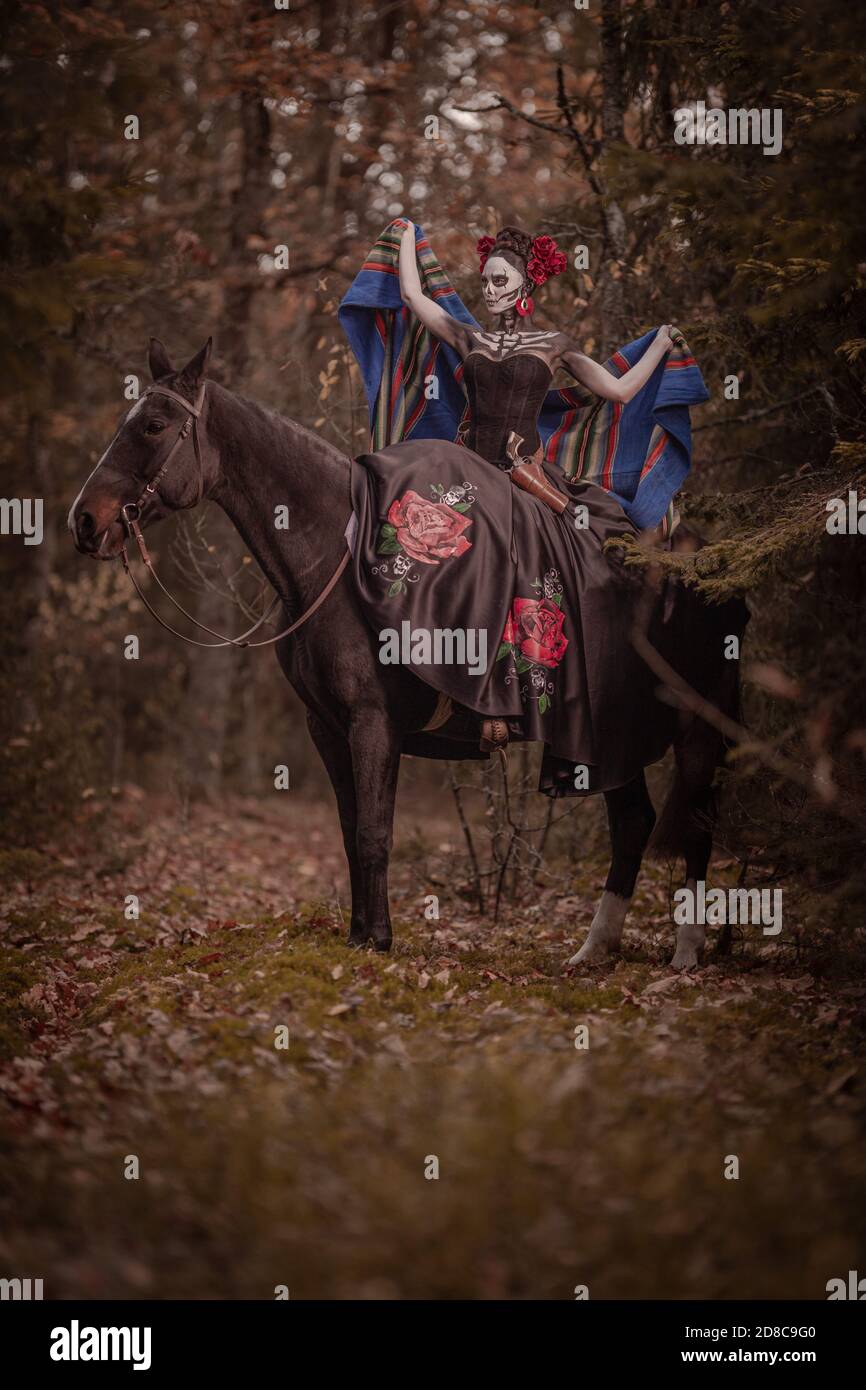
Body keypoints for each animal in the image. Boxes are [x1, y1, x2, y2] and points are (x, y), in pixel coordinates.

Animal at [69, 339, 745, 967]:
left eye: (153, 427)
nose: (84, 521)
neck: (331, 560)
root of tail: (708, 560)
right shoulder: (326, 726)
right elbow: (350, 834)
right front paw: (358, 935)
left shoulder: (373, 723)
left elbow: (374, 833)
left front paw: (379, 942)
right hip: (607, 738)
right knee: (633, 824)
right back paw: (594, 950)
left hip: (695, 726)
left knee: (697, 820)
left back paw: (685, 952)